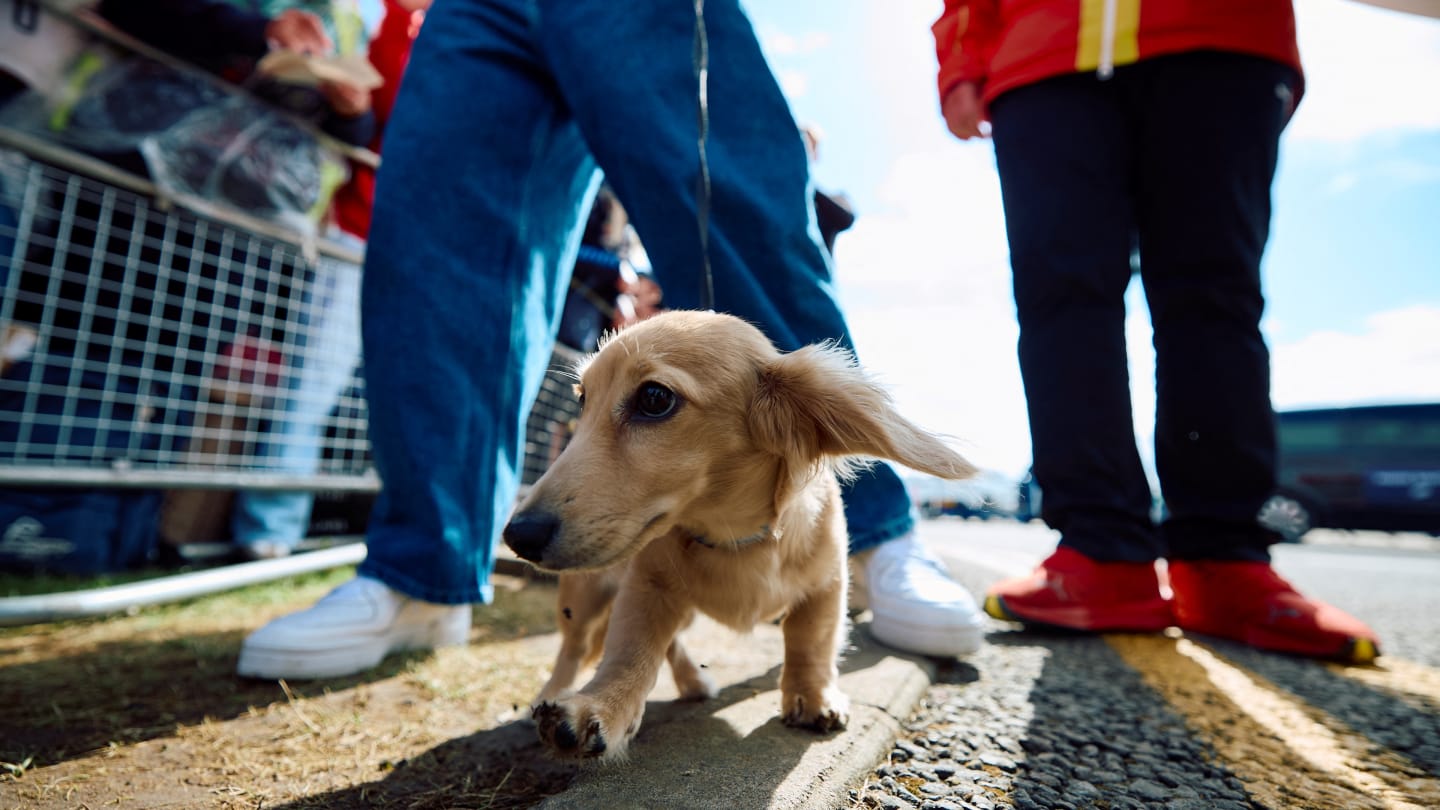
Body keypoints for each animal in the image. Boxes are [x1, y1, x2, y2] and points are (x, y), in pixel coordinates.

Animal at [501, 306, 973, 755]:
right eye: (583, 400)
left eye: (654, 397)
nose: (516, 536)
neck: (732, 536)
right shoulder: (646, 585)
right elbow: (632, 648)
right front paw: (602, 706)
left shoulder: (827, 583)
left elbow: (811, 638)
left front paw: (813, 696)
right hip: (584, 594)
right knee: (575, 648)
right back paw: (550, 693)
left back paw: (693, 683)